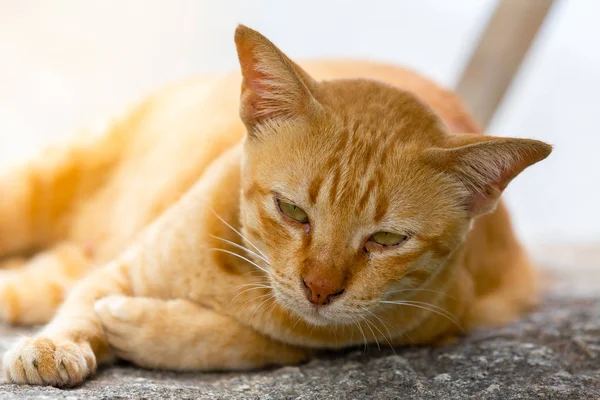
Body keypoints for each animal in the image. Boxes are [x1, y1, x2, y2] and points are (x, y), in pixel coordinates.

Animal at [1, 25, 552, 388]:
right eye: (293, 211)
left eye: (387, 239)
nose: (320, 289)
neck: (240, 279)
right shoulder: (121, 268)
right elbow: (82, 308)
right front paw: (55, 346)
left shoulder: (430, 321)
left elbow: (242, 342)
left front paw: (140, 327)